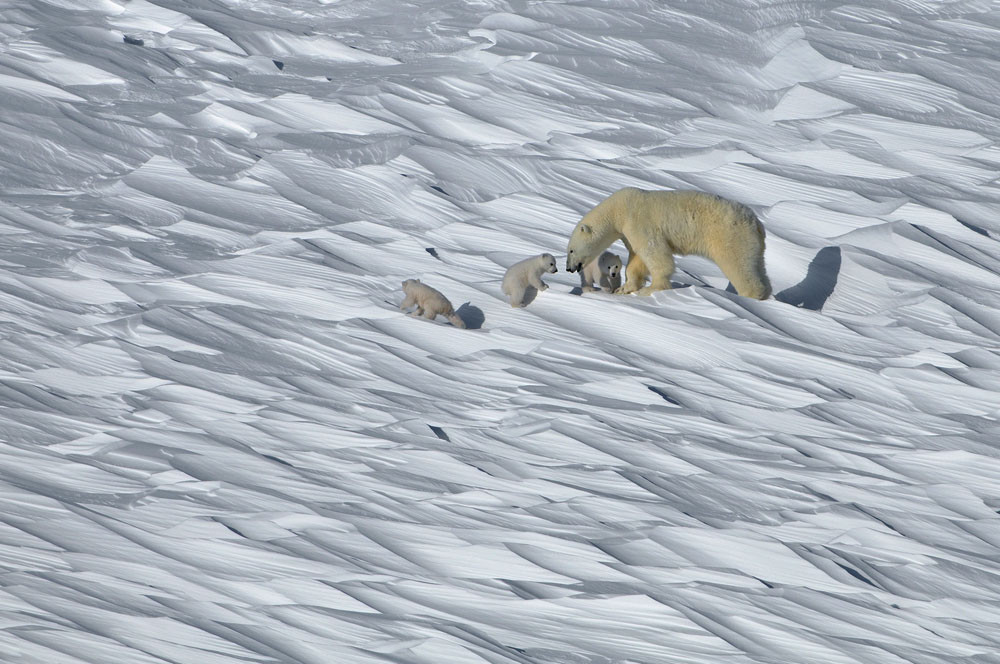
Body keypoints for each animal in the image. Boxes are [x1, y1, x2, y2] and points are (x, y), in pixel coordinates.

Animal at [568, 188, 768, 300]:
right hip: (753, 244)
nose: (568, 268)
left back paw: (750, 296)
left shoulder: (639, 222)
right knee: (757, 266)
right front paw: (624, 288)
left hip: (729, 236)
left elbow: (654, 252)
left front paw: (652, 289)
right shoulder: (629, 232)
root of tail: (757, 224)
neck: (619, 209)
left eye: (570, 250)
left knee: (738, 264)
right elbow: (636, 259)